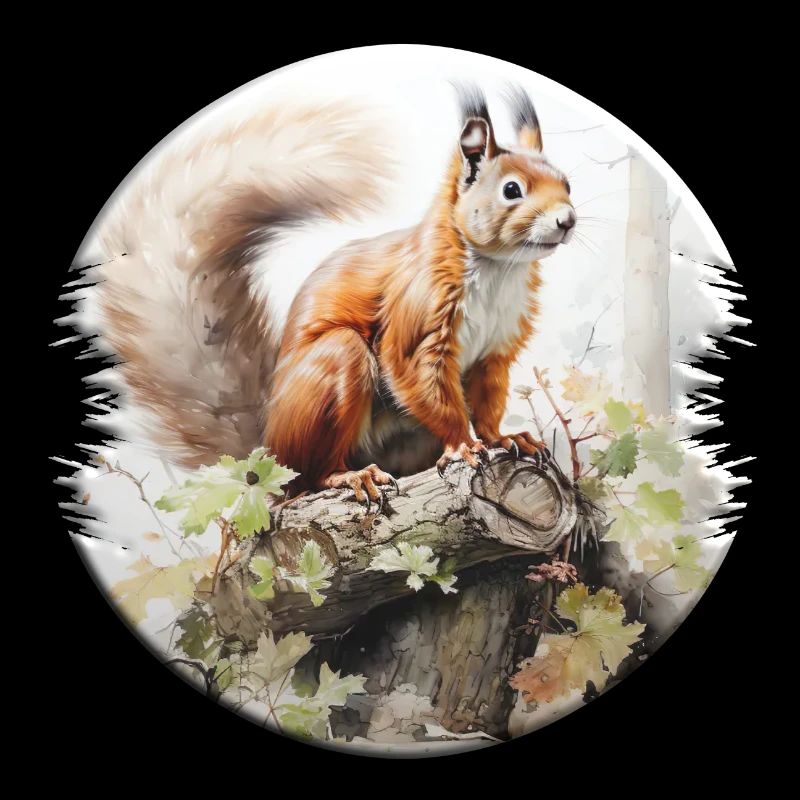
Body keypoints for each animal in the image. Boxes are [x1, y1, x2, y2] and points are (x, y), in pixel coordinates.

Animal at [96, 84, 575, 505]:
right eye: (511, 190)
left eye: (567, 182)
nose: (567, 220)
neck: (497, 270)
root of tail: (269, 457)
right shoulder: (417, 317)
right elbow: (420, 378)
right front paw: (463, 444)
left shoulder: (497, 348)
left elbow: (488, 400)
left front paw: (504, 437)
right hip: (333, 372)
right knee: (313, 473)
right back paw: (351, 476)